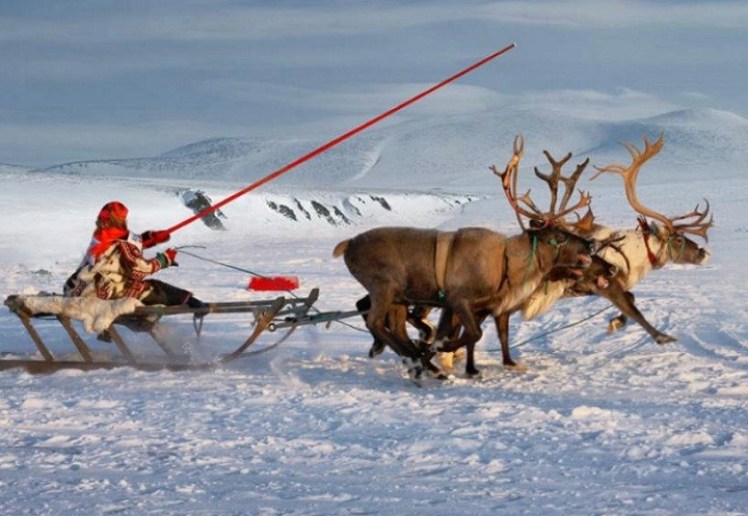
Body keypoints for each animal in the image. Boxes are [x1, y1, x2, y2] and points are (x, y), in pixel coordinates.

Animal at [333, 136, 597, 382]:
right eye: (559, 236)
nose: (591, 243)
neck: (507, 266)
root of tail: (347, 245)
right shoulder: (458, 298)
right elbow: (472, 334)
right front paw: (438, 351)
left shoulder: (475, 306)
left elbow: (469, 334)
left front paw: (437, 353)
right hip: (384, 285)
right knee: (375, 321)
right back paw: (414, 361)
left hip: (399, 295)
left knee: (394, 327)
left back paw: (417, 361)